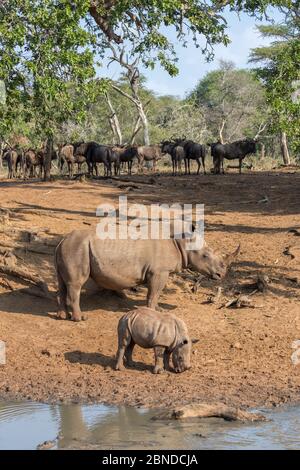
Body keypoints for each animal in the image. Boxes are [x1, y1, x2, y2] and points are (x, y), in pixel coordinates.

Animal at [55, 229, 239, 322]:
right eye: (205, 256)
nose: (221, 274)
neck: (180, 244)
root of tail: (62, 241)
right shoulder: (159, 272)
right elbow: (154, 293)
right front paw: (153, 312)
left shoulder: (158, 272)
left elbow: (155, 294)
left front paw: (159, 309)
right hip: (77, 248)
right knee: (75, 285)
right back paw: (80, 318)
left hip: (69, 249)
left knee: (63, 284)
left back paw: (62, 316)